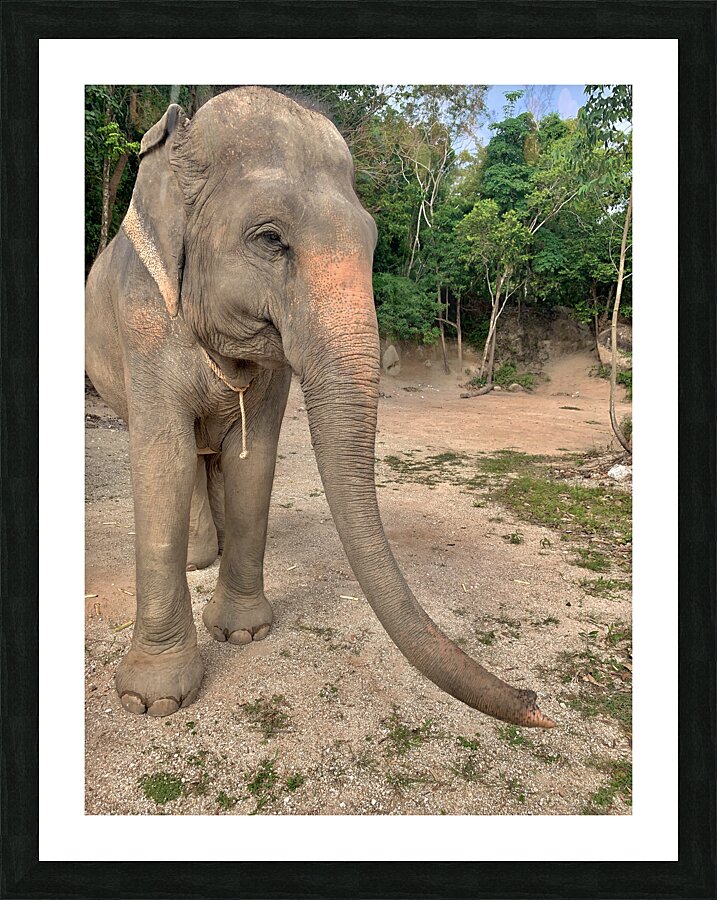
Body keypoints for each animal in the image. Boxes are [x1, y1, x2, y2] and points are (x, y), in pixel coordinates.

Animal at [85, 86, 554, 729]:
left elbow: (253, 460)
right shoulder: (145, 324)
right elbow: (164, 462)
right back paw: (200, 558)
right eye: (269, 238)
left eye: (374, 241)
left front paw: (243, 635)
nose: (539, 703)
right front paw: (151, 701)